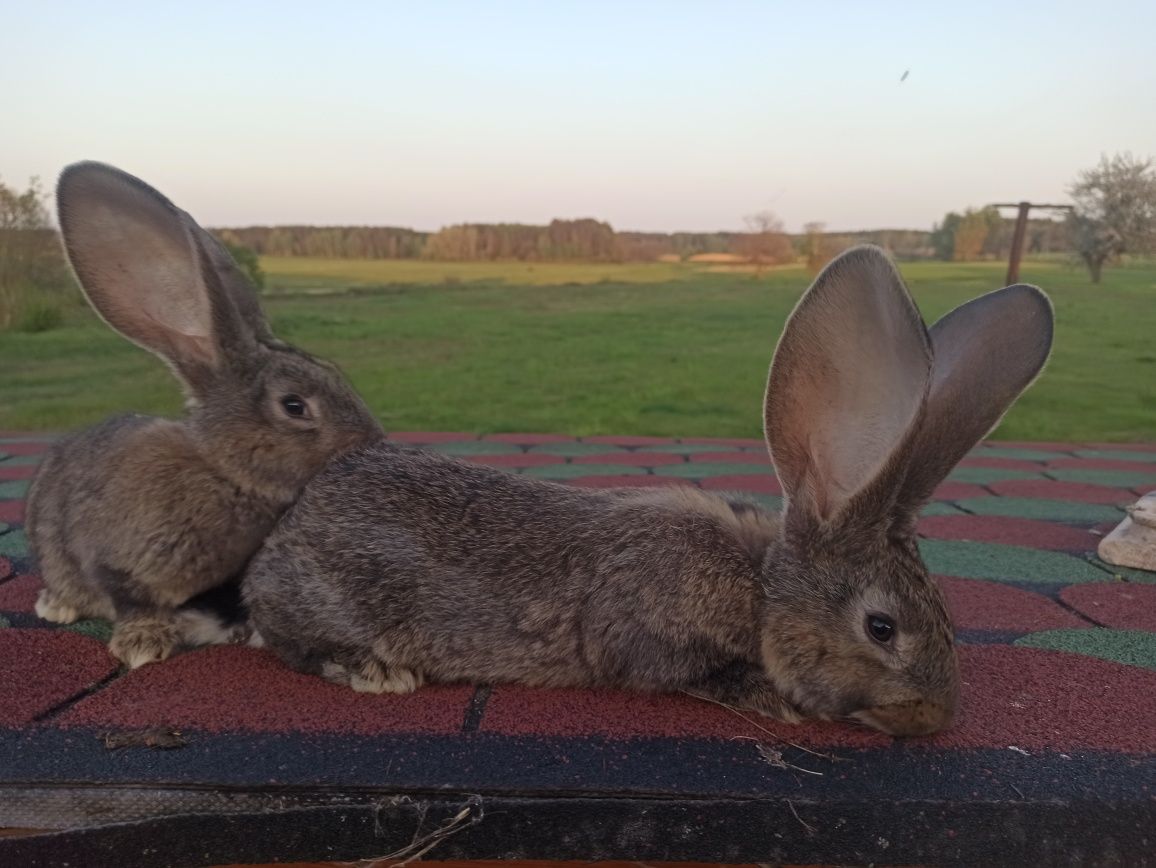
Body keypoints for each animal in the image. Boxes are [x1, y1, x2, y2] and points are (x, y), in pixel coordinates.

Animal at [243, 246, 1058, 739]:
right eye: (881, 628)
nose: (934, 716)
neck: (760, 589)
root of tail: (280, 540)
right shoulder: (643, 634)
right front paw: (774, 701)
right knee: (288, 641)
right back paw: (375, 671)